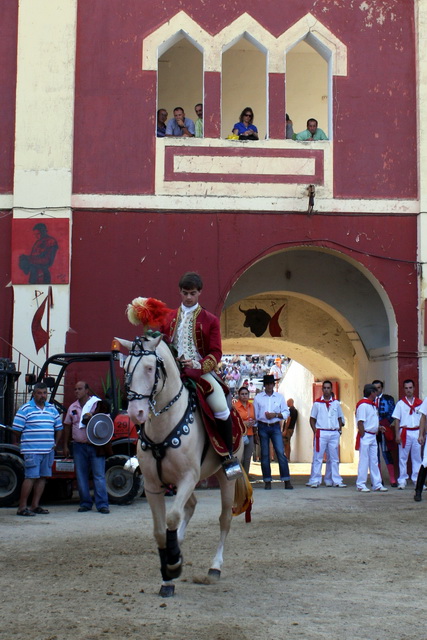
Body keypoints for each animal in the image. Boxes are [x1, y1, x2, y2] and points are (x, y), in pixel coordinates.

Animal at [117, 332, 251, 596]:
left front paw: (174, 564)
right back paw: (177, 546)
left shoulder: (188, 477)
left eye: (150, 368)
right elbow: (160, 530)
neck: (164, 425)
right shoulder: (153, 485)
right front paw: (167, 575)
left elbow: (172, 517)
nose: (136, 413)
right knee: (191, 506)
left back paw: (214, 568)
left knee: (224, 518)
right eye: (125, 368)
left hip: (225, 477)